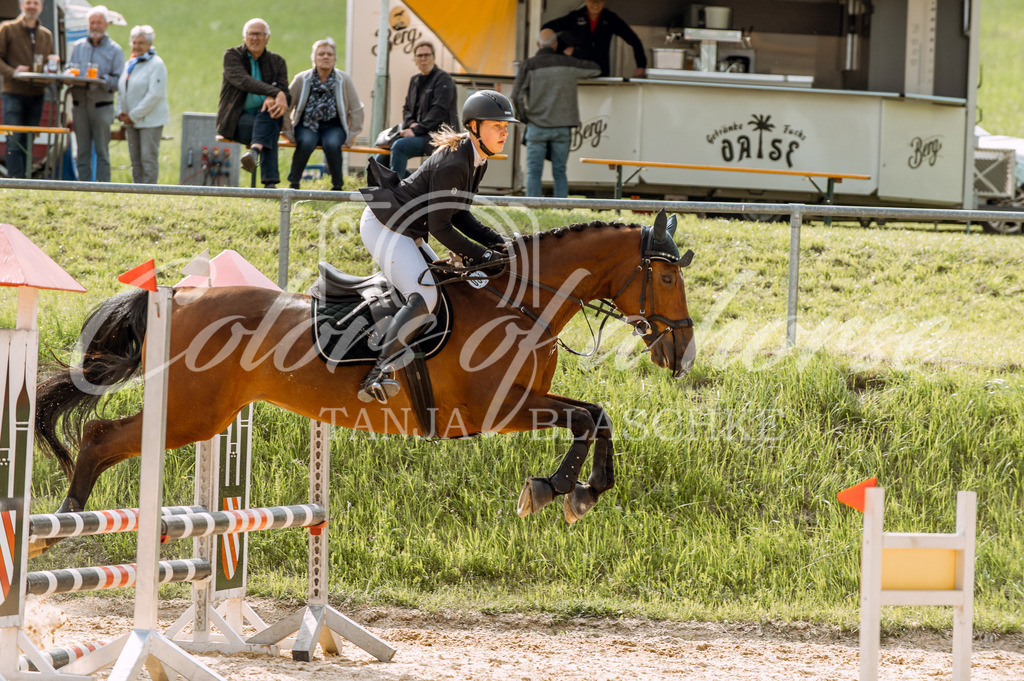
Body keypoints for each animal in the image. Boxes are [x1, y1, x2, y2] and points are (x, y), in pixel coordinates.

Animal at [34, 209, 696, 557]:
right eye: (666, 278)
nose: (681, 353)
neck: (519, 301)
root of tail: (172, 297)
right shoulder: (496, 409)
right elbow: (588, 416)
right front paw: (555, 489)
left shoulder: (520, 404)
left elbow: (596, 414)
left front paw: (582, 491)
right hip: (190, 415)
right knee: (99, 436)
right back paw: (58, 526)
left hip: (203, 415)